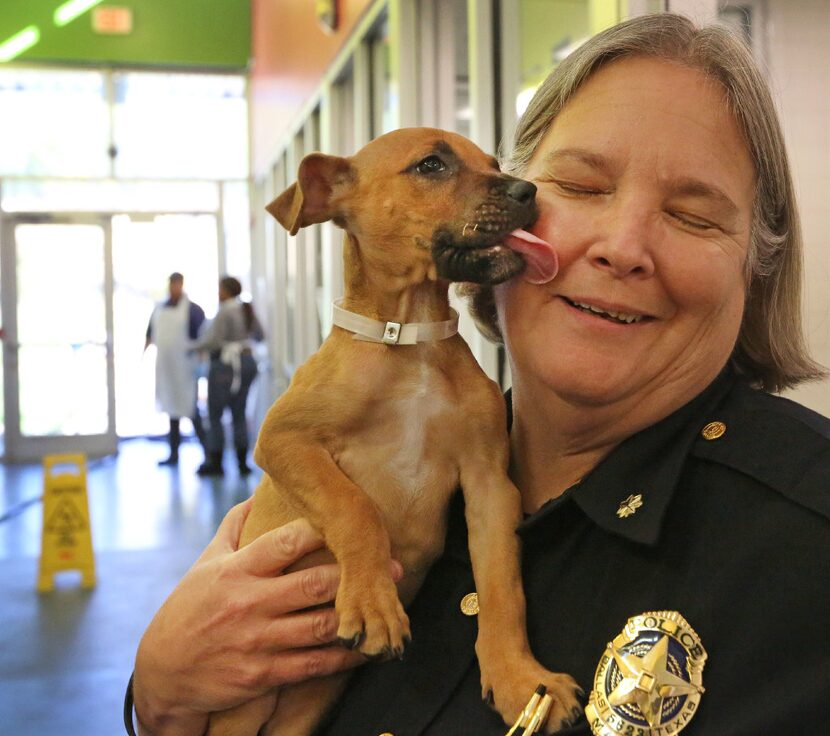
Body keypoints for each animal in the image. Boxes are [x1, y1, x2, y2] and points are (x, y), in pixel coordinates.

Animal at [208, 129, 580, 732]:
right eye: (431, 165)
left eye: (493, 162)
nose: (529, 193)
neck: (411, 339)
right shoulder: (282, 439)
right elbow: (353, 506)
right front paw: (373, 604)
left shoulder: (489, 487)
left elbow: (503, 588)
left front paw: (520, 678)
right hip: (240, 713)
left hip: (305, 708)